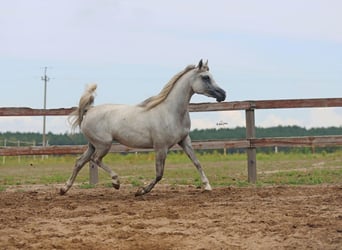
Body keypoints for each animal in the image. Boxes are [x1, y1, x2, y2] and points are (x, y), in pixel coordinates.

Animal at [60, 59, 226, 196]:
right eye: (205, 77)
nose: (223, 94)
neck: (170, 112)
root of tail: (89, 110)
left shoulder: (185, 141)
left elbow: (197, 162)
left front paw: (207, 186)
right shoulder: (161, 147)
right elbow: (159, 173)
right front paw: (141, 191)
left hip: (93, 145)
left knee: (80, 161)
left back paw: (64, 189)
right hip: (103, 145)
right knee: (95, 159)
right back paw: (116, 182)